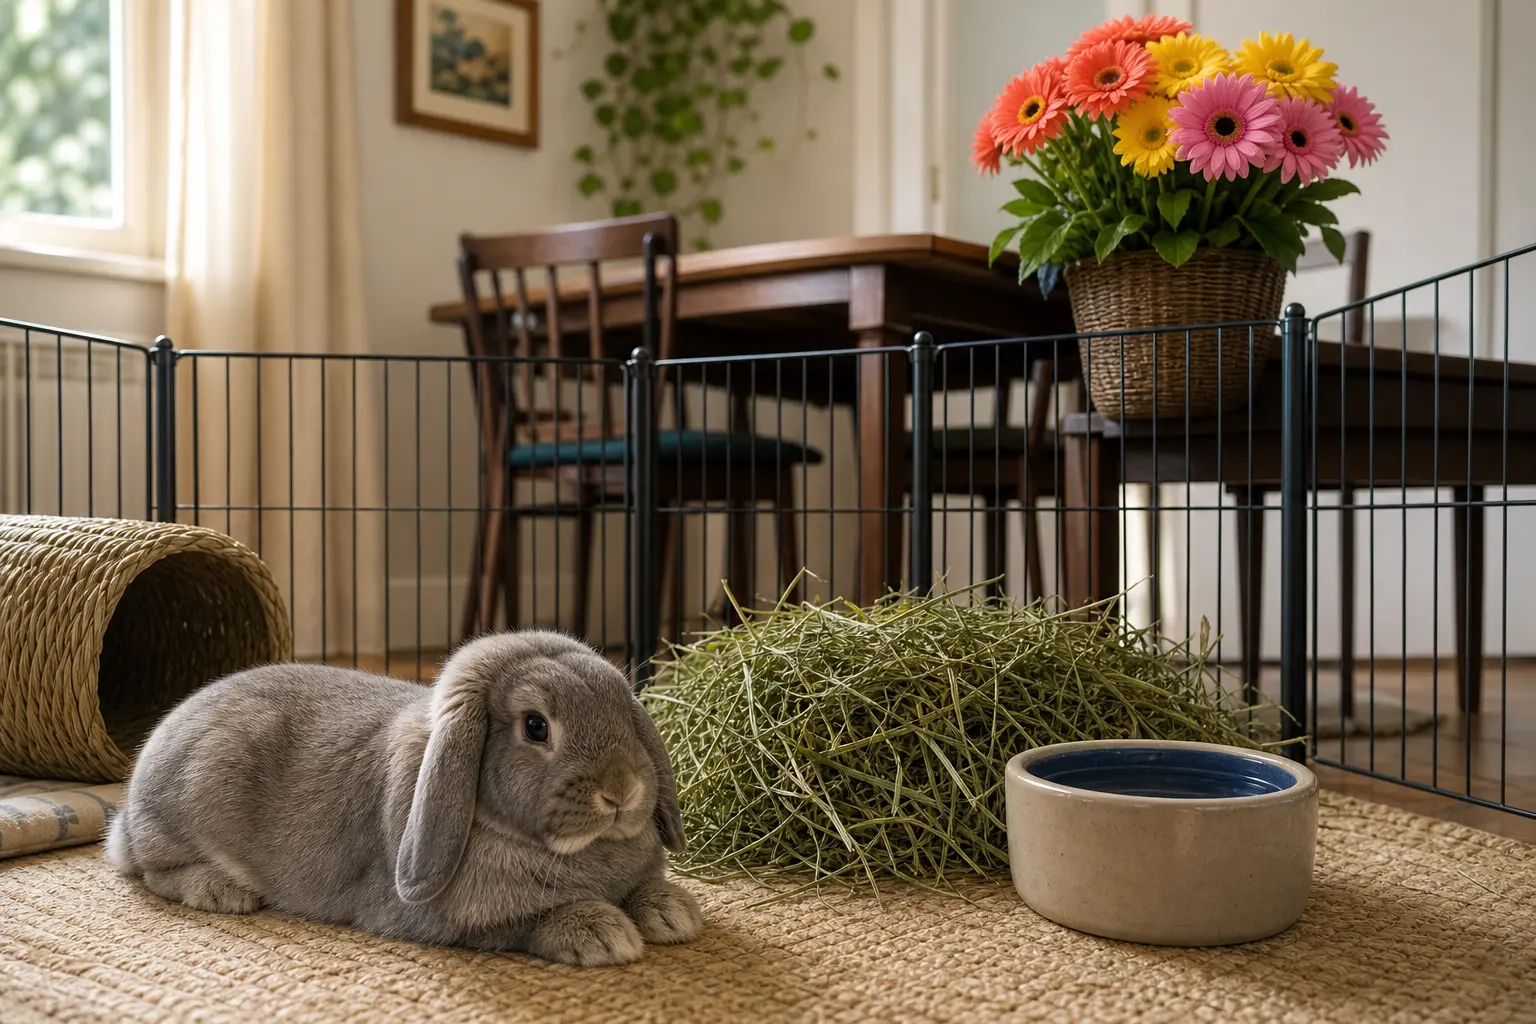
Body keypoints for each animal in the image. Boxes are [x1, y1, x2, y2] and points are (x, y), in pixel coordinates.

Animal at [104, 629, 702, 966]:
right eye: (536, 726)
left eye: (623, 711)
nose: (621, 791)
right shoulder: (460, 921)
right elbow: (526, 923)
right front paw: (604, 935)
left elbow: (644, 889)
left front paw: (674, 911)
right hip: (187, 804)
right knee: (152, 871)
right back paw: (221, 891)